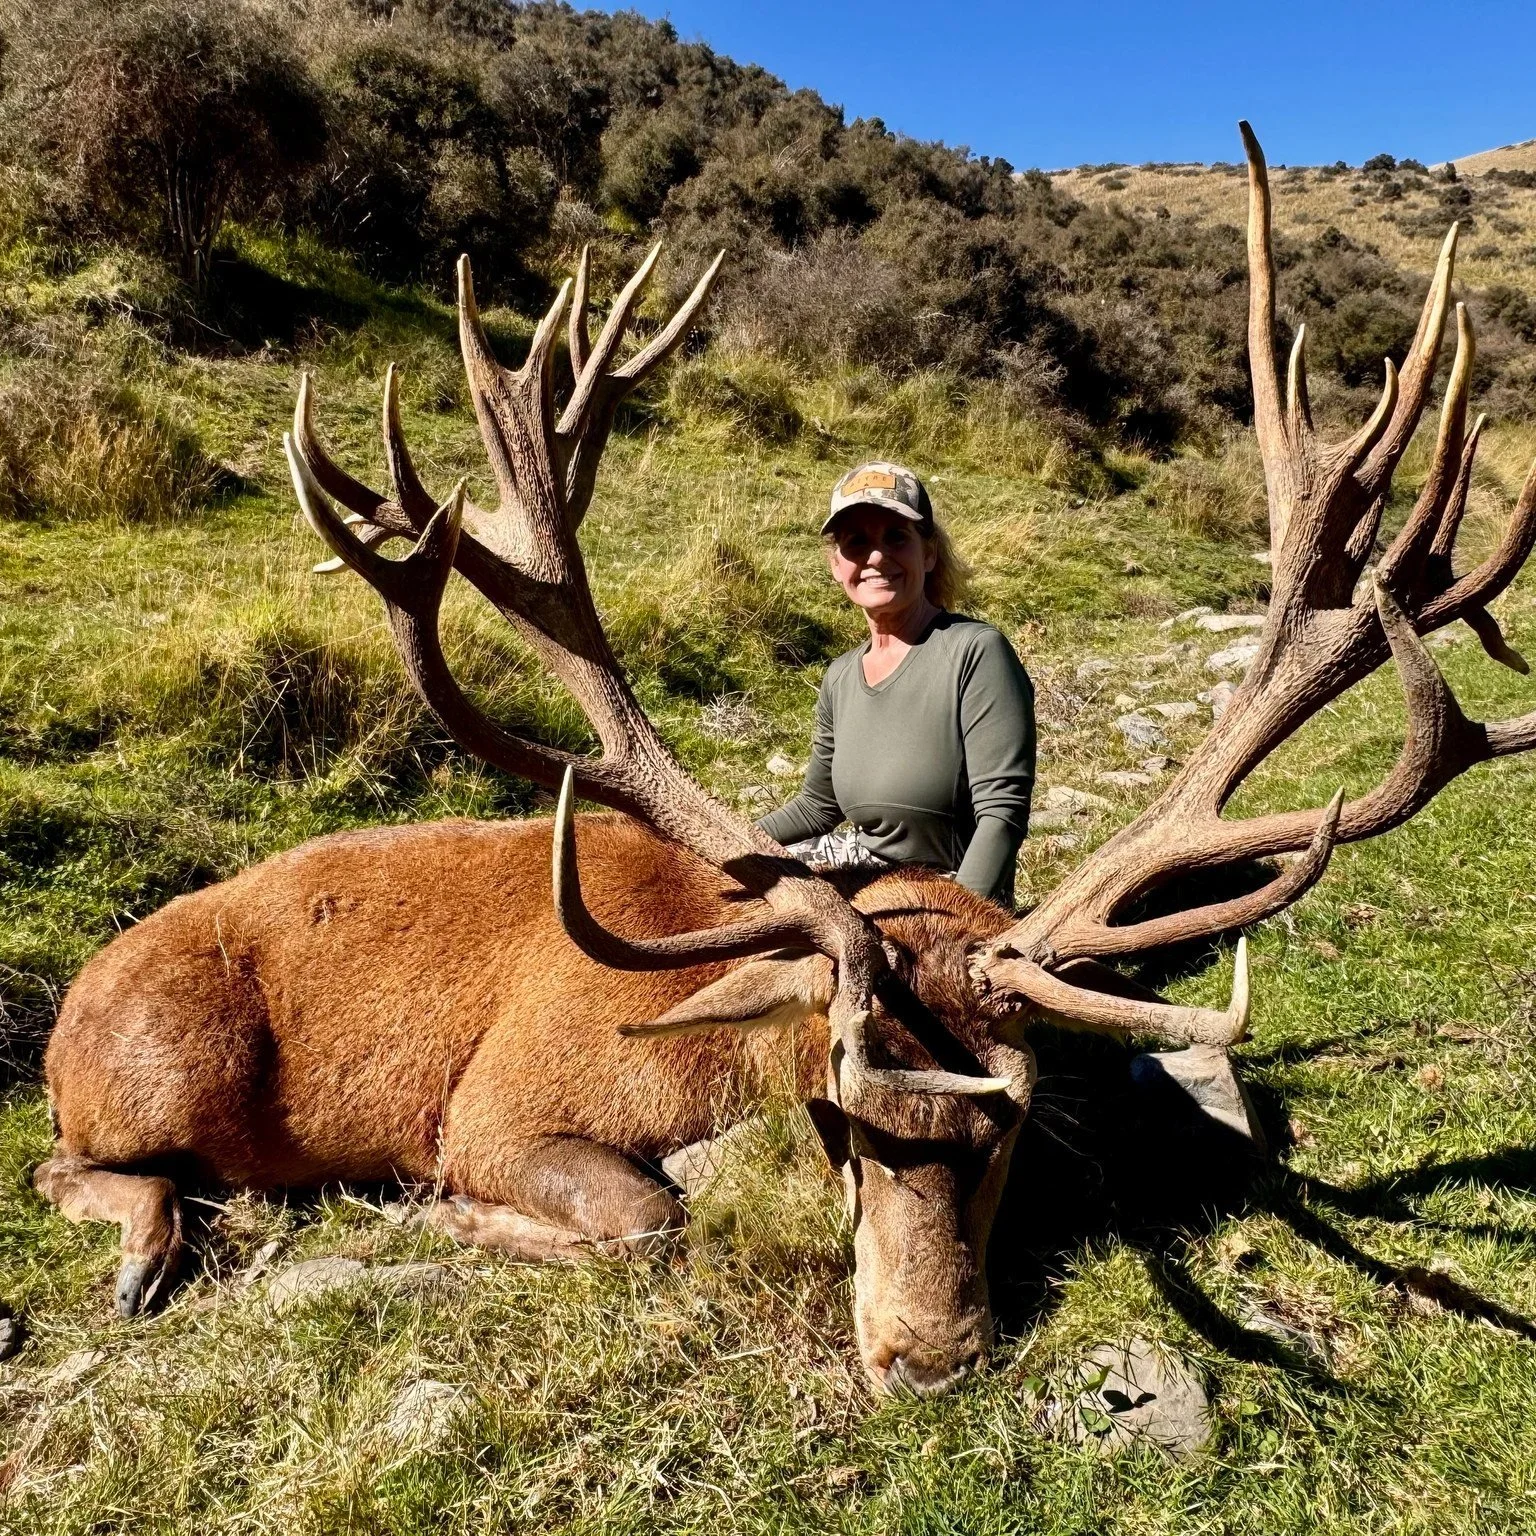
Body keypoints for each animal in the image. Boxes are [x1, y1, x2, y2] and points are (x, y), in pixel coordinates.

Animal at [36, 123, 1536, 1398]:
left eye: (1012, 1131)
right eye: (840, 1120)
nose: (929, 1361)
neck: (721, 1043)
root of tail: (62, 1017)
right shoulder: (499, 1105)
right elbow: (649, 1213)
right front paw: (460, 1222)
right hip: (158, 1070)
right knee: (74, 1164)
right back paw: (146, 1252)